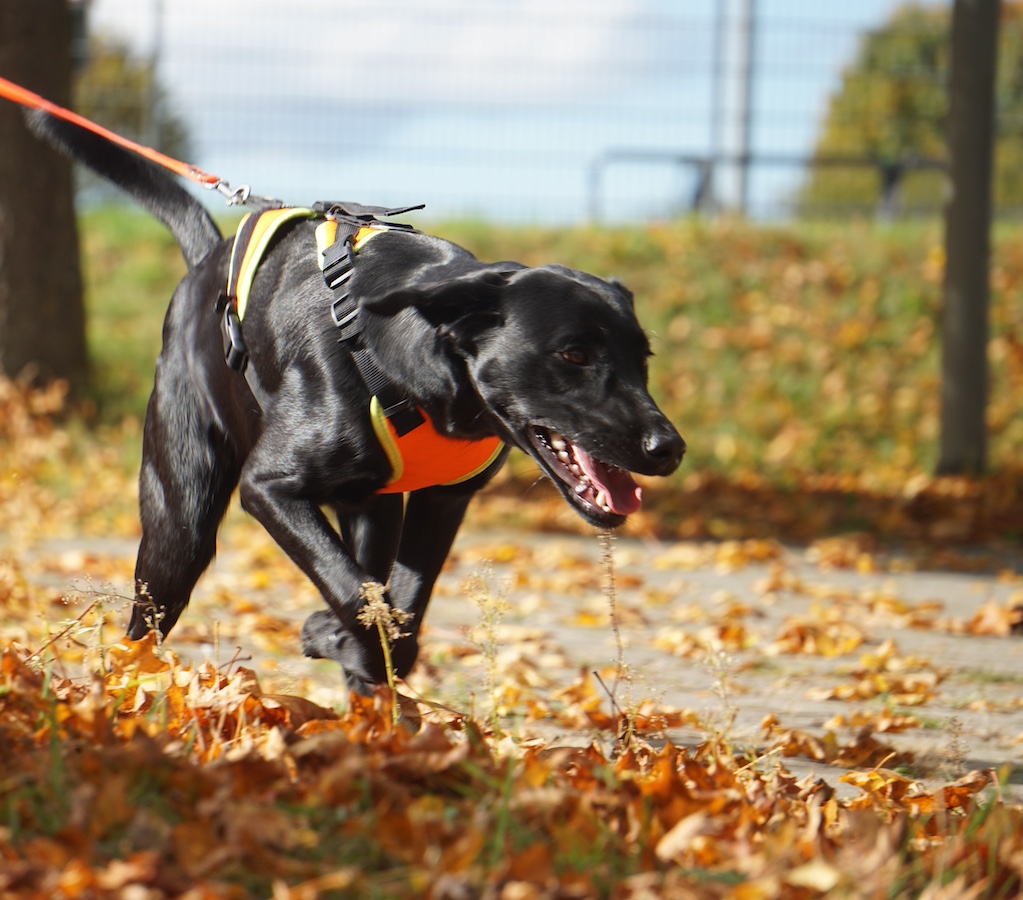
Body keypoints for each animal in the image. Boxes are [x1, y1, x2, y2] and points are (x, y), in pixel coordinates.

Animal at [29, 110, 687, 695]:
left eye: (644, 359)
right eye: (573, 353)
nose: (670, 448)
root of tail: (203, 269)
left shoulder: (441, 502)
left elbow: (400, 610)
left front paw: (350, 647)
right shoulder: (270, 488)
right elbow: (359, 598)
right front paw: (333, 635)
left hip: (372, 509)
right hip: (180, 520)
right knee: (144, 625)